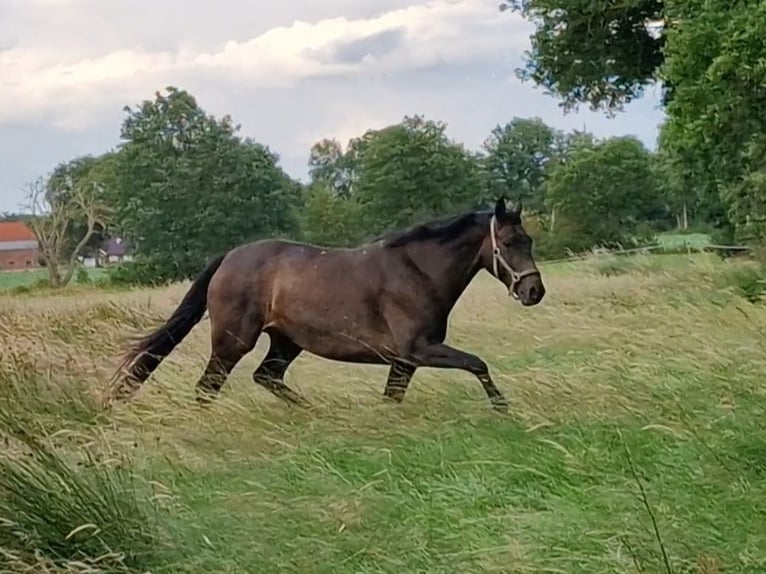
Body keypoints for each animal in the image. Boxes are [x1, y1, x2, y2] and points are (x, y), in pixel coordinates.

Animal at [112, 199, 544, 414]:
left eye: (529, 241)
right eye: (508, 243)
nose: (534, 291)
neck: (418, 271)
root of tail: (229, 257)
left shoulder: (404, 361)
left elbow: (392, 398)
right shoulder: (419, 350)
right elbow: (477, 364)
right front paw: (503, 408)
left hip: (286, 341)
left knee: (266, 377)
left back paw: (312, 412)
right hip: (233, 341)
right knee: (208, 387)